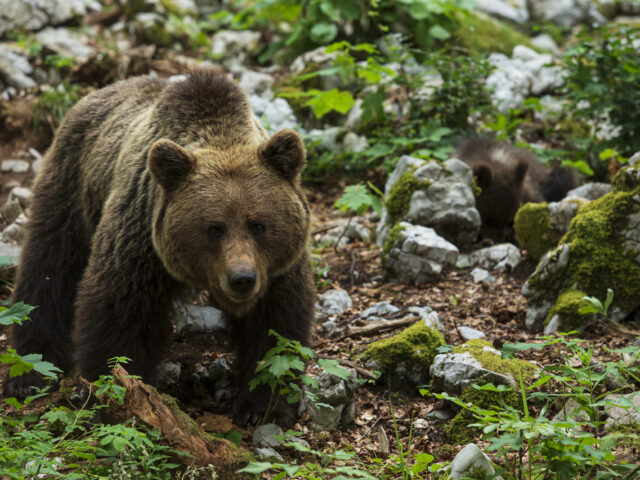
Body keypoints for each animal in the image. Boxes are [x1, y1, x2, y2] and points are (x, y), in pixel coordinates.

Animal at [5, 70, 316, 424]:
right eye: (213, 228)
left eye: (258, 224)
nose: (242, 279)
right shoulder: (140, 237)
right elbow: (118, 312)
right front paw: (119, 398)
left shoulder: (277, 269)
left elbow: (276, 332)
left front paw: (263, 407)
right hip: (73, 185)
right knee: (49, 270)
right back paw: (30, 372)